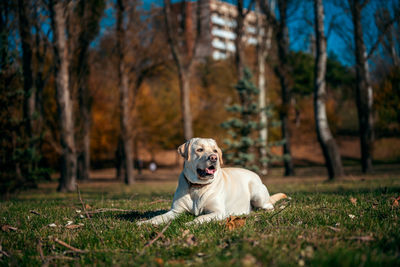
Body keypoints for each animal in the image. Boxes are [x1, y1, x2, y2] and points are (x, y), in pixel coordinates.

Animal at [138, 138, 288, 226]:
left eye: (215, 150)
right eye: (200, 150)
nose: (214, 157)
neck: (197, 187)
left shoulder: (217, 212)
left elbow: (199, 218)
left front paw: (189, 224)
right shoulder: (175, 211)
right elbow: (159, 217)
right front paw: (144, 223)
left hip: (257, 195)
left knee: (269, 206)